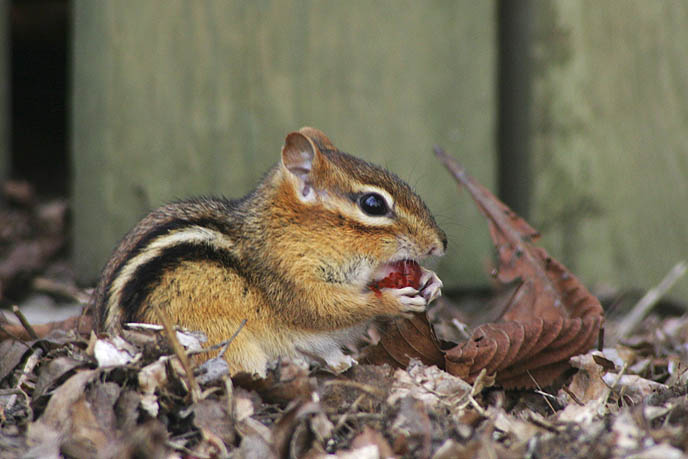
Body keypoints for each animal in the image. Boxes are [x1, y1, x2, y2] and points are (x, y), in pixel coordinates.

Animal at [91, 127, 447, 375]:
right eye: (373, 204)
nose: (441, 243)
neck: (287, 232)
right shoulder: (288, 279)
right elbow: (324, 309)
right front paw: (392, 301)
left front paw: (431, 281)